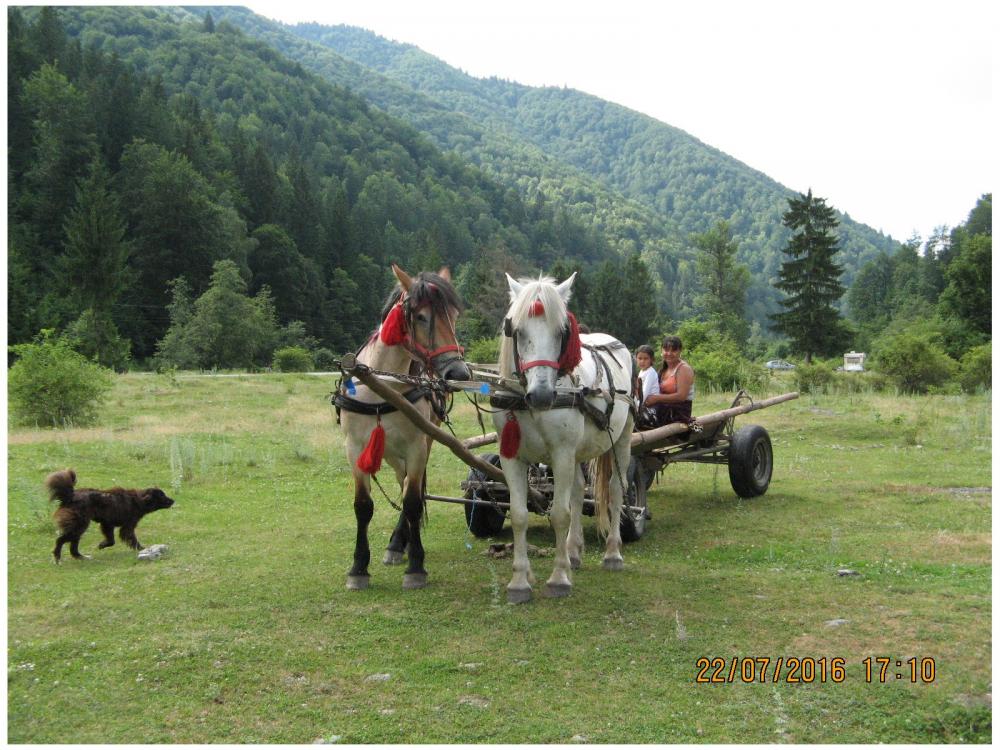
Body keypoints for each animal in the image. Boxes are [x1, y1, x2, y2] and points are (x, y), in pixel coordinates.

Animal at [45, 469, 174, 563]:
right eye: (162, 496)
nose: (173, 500)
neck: (139, 501)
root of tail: (71, 496)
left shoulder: (107, 524)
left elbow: (111, 540)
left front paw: (102, 545)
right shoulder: (127, 526)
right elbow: (131, 539)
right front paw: (143, 549)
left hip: (79, 527)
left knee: (73, 548)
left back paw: (83, 557)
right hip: (80, 525)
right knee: (60, 540)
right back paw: (57, 557)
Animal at [337, 264, 471, 591]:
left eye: (454, 315)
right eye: (421, 317)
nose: (459, 372)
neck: (382, 388)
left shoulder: (417, 446)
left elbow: (411, 502)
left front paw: (416, 567)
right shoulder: (355, 449)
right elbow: (363, 506)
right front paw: (358, 567)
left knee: (411, 487)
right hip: (389, 449)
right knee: (402, 480)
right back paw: (400, 542)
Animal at [492, 273, 635, 603]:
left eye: (561, 332)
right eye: (517, 331)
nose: (543, 396)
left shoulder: (561, 453)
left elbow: (559, 514)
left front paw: (558, 578)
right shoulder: (511, 457)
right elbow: (519, 515)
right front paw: (519, 582)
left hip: (621, 439)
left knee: (615, 490)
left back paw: (612, 553)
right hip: (578, 452)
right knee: (579, 490)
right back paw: (573, 552)